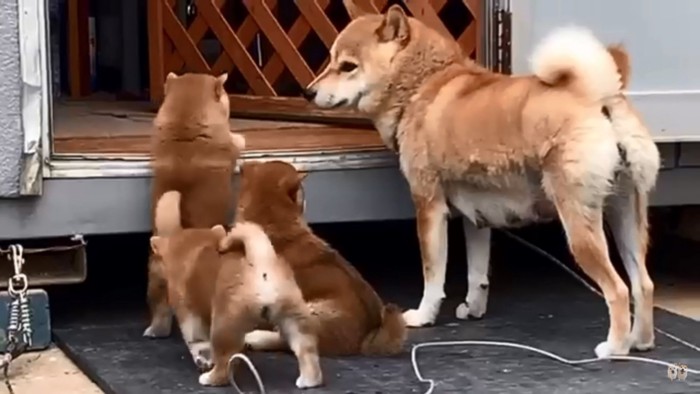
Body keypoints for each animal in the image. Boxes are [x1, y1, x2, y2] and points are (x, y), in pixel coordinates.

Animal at [150, 190, 322, 388]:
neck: (192, 245)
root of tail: (260, 260)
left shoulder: (189, 311)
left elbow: (197, 339)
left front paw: (202, 358)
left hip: (224, 326)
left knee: (225, 365)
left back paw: (210, 378)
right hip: (294, 319)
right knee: (307, 352)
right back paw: (308, 380)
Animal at [304, 0, 660, 358]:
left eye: (347, 66)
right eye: (331, 60)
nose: (308, 92)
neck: (422, 86)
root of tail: (599, 98)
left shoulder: (429, 205)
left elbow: (432, 274)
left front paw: (423, 315)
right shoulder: (477, 213)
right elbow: (477, 274)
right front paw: (473, 309)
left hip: (579, 225)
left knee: (618, 289)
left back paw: (615, 346)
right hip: (625, 215)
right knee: (643, 284)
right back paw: (641, 341)